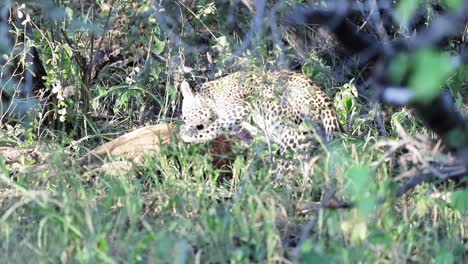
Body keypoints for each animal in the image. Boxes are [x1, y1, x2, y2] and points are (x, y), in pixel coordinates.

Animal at [179, 70, 344, 172]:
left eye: (185, 117)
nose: (184, 123)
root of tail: (326, 102)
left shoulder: (239, 108)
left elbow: (214, 126)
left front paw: (188, 134)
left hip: (291, 136)